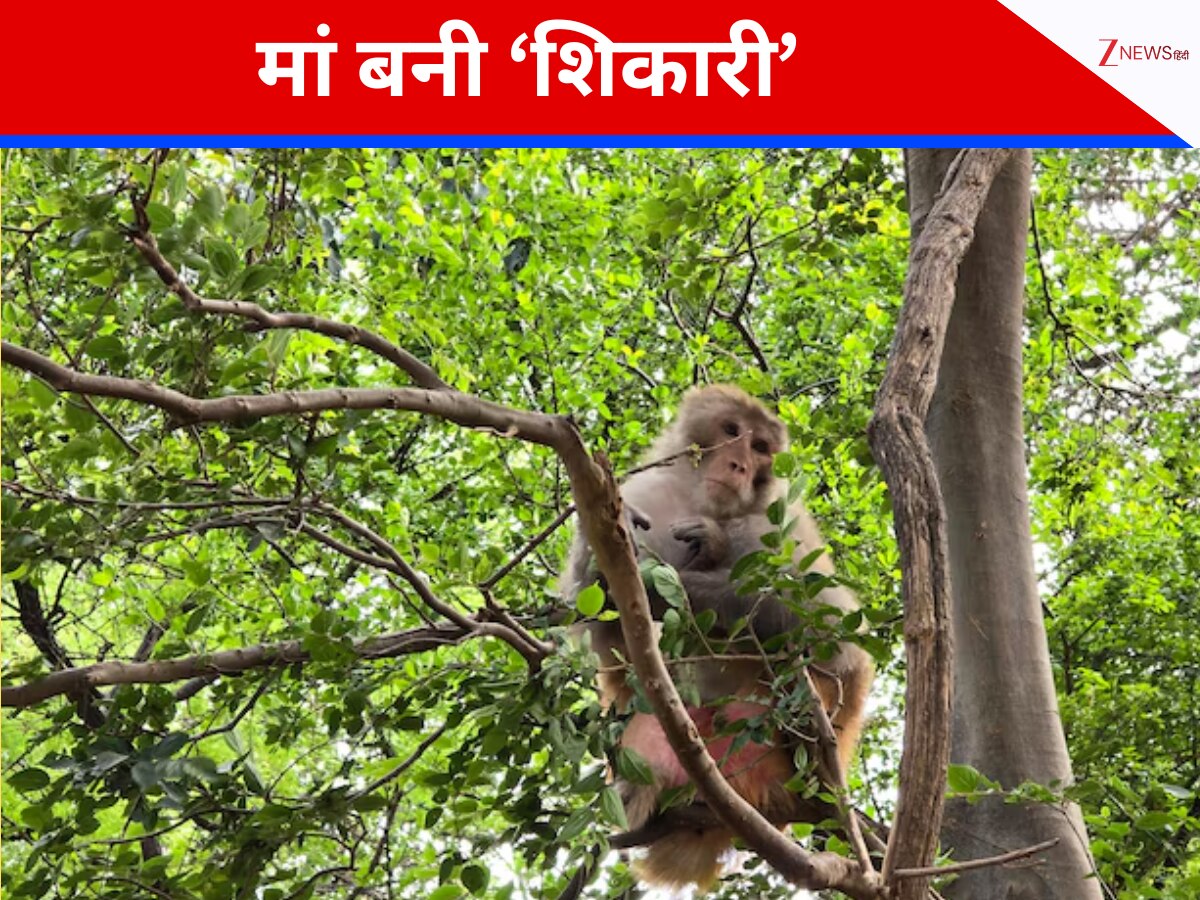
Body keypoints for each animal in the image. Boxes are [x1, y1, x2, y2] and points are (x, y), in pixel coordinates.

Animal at [562, 384, 873, 890]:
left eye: (761, 447)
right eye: (731, 431)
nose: (739, 465)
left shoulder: (781, 521)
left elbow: (833, 632)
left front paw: (704, 554)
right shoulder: (642, 491)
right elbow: (596, 616)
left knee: (809, 666)